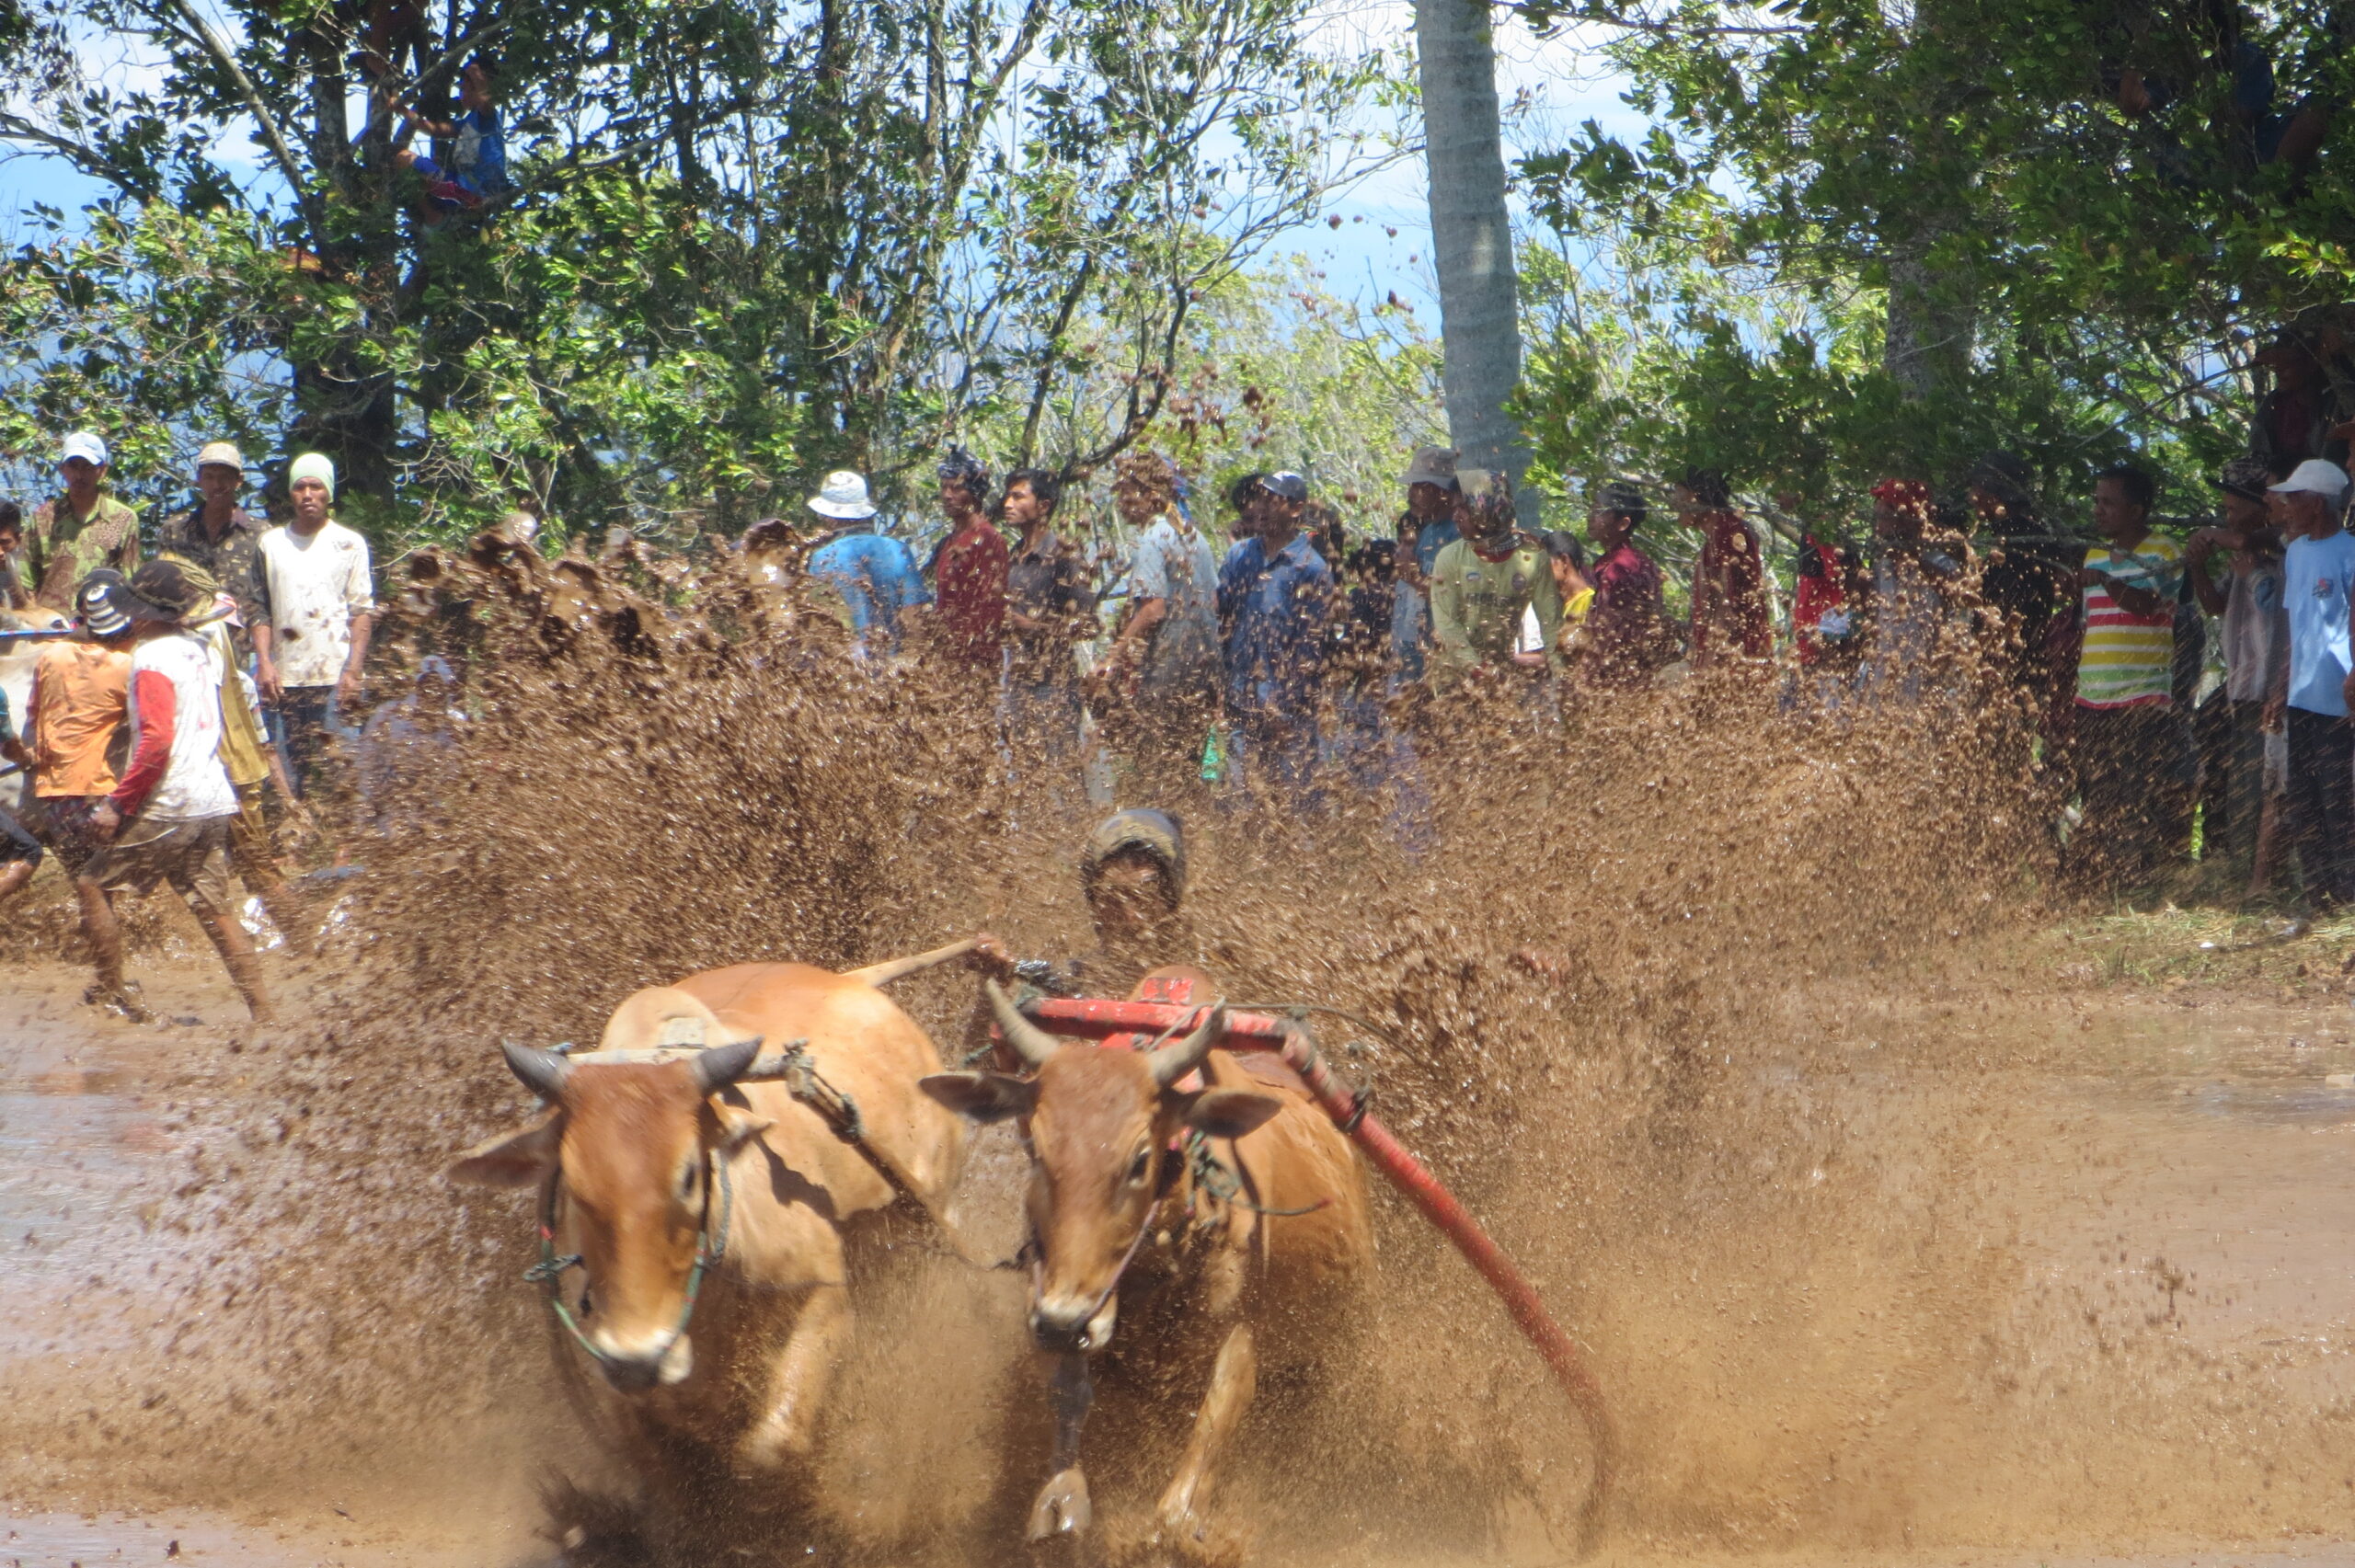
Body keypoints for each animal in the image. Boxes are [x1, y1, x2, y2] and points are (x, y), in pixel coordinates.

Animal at [449, 951, 965, 1469]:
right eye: (573, 1187)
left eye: (690, 1176)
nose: (640, 1361)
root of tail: (850, 982)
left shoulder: (826, 1298)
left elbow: (771, 1446)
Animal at [913, 965, 1375, 1553]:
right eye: (1036, 1149)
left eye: (1139, 1159)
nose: (1063, 1321)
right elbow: (1069, 1399)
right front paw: (1062, 1500)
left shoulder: (1241, 1335)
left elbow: (1200, 1455)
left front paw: (1177, 1530)